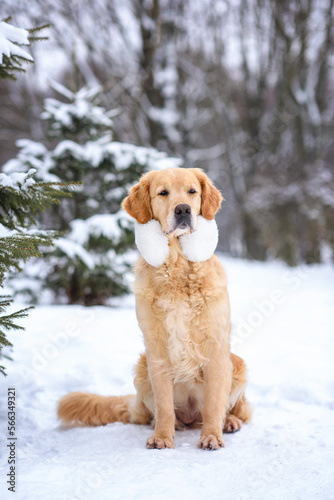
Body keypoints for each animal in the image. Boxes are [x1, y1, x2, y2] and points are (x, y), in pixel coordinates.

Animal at [57, 167, 250, 450]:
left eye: (192, 191)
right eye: (163, 193)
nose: (183, 209)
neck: (177, 263)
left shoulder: (215, 347)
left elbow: (214, 402)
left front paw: (212, 436)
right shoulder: (156, 348)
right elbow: (164, 405)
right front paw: (162, 437)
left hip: (237, 363)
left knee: (238, 410)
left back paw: (230, 422)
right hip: (141, 367)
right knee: (155, 413)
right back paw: (172, 424)